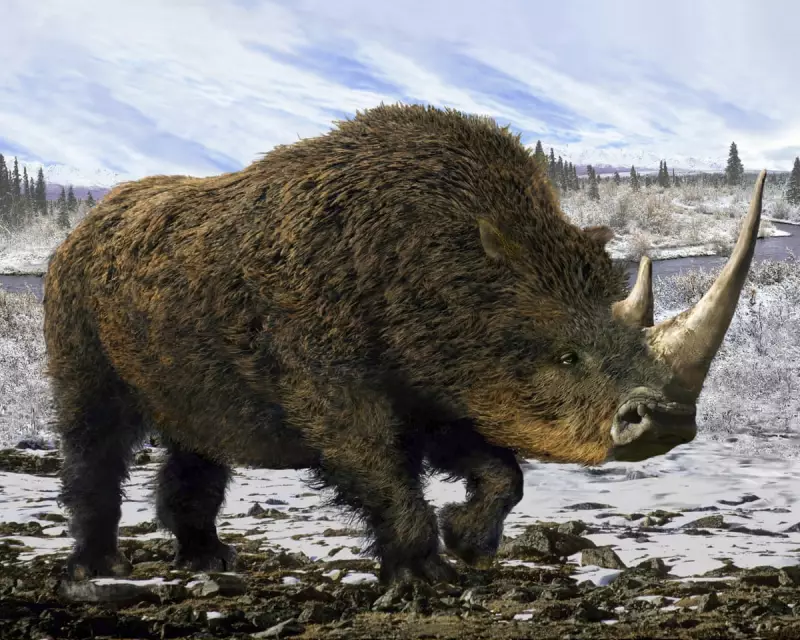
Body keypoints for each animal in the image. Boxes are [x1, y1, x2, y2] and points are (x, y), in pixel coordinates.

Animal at [42, 104, 765, 585]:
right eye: (567, 356)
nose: (667, 423)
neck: (458, 274)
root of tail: (82, 226)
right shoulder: (334, 384)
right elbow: (381, 471)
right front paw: (424, 577)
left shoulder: (447, 382)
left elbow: (500, 471)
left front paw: (470, 545)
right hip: (72, 300)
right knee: (95, 429)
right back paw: (98, 570)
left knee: (199, 433)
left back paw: (211, 561)